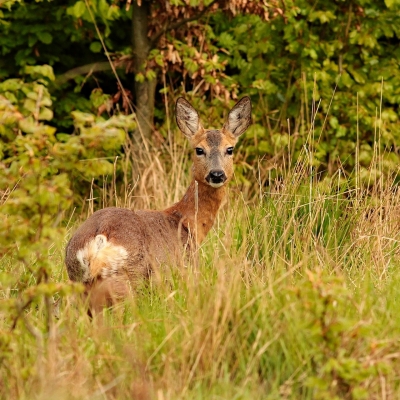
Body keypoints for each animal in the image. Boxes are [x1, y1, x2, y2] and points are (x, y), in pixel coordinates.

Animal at [66, 97, 253, 312]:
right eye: (199, 149)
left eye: (229, 149)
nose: (217, 174)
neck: (187, 223)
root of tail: (98, 240)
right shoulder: (187, 267)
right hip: (128, 279)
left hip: (80, 285)